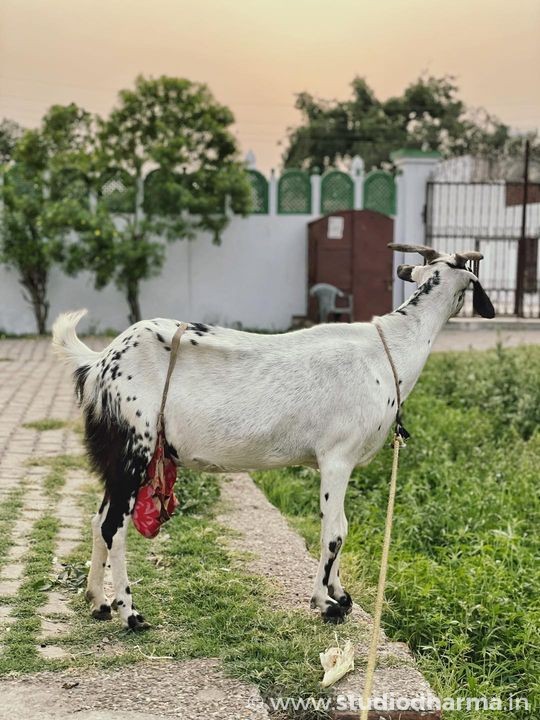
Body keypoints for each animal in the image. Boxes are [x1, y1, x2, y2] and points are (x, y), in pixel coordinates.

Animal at [52, 244, 495, 629]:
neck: (390, 352)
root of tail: (99, 363)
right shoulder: (337, 456)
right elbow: (333, 532)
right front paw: (325, 603)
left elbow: (343, 525)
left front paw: (342, 594)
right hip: (135, 447)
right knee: (114, 526)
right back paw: (130, 613)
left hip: (116, 456)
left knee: (97, 520)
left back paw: (98, 602)